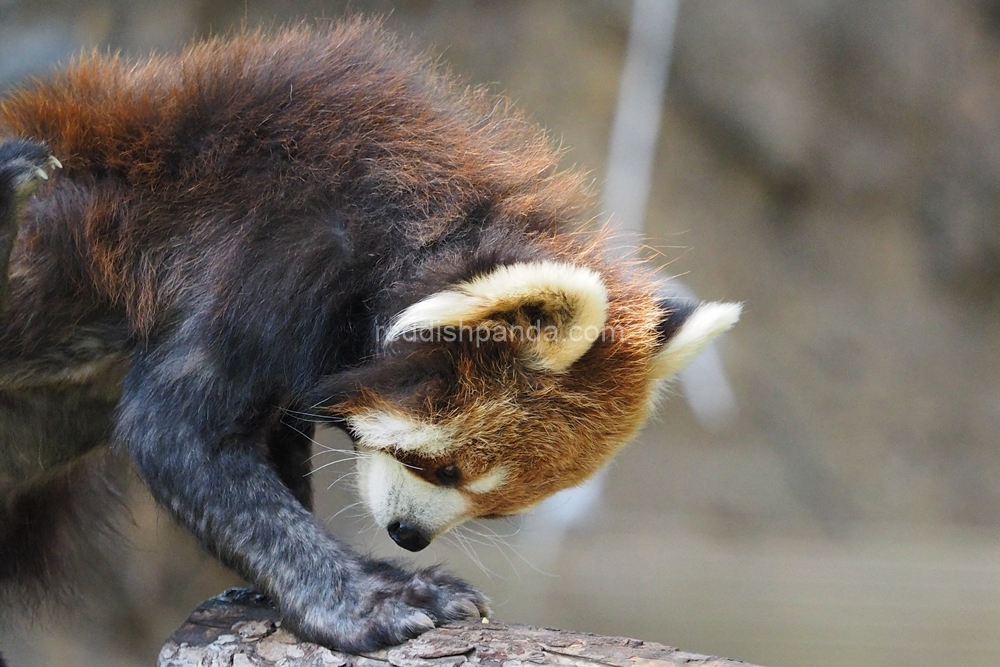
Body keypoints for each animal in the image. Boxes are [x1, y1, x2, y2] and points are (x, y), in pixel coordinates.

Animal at [0, 18, 736, 656]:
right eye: (443, 467)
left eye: (497, 508)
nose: (409, 535)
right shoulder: (274, 242)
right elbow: (177, 434)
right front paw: (367, 600)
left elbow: (273, 449)